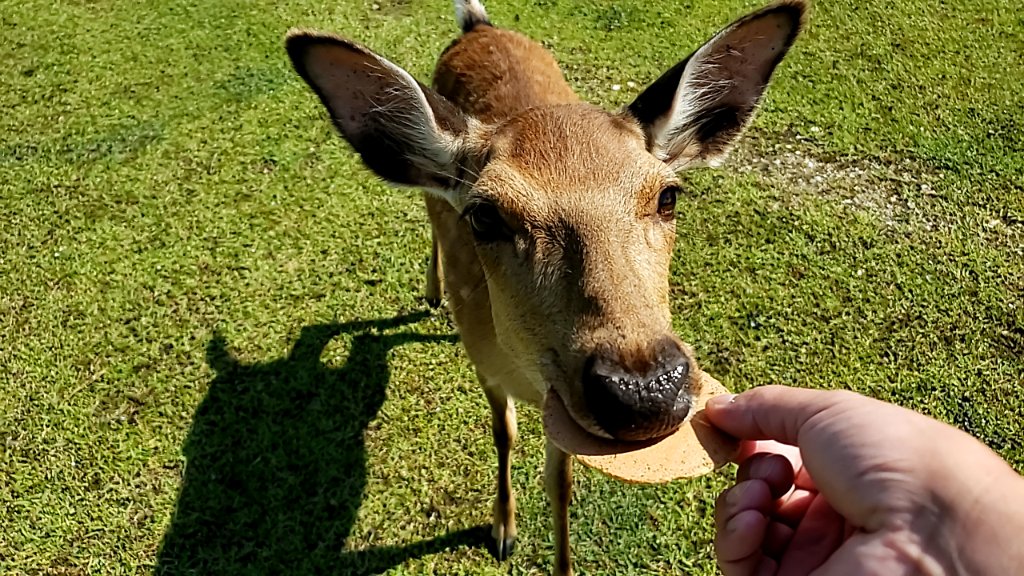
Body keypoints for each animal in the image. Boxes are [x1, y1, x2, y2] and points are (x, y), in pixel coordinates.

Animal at [285, 0, 805, 573]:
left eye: (668, 195)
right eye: (485, 216)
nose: (644, 390)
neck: (528, 374)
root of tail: (478, 26)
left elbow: (561, 482)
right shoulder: (486, 365)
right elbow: (503, 434)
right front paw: (502, 529)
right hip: (429, 194)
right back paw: (432, 291)